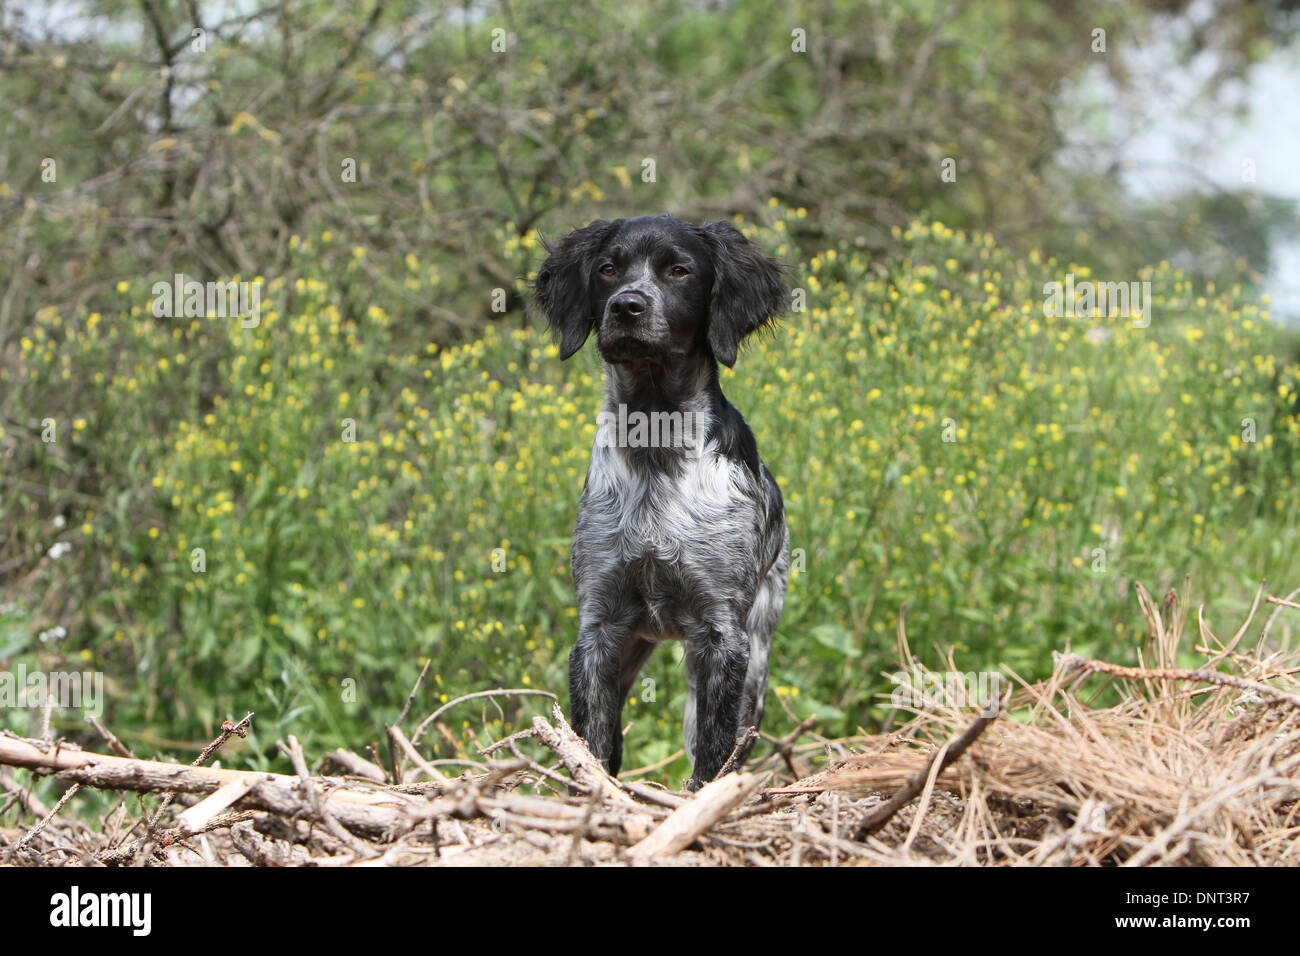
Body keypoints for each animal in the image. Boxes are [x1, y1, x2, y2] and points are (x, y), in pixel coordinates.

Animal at [530, 218, 790, 790]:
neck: (656, 446)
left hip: (755, 654)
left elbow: (712, 754)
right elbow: (593, 744)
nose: (627, 306)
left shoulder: (722, 636)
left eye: (679, 270)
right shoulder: (599, 629)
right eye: (608, 268)